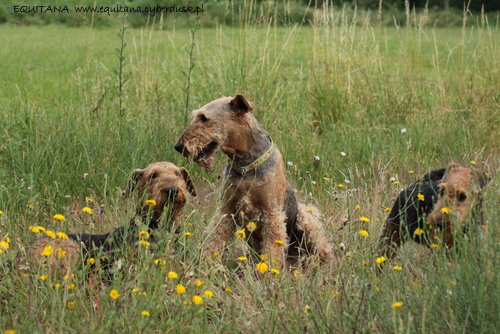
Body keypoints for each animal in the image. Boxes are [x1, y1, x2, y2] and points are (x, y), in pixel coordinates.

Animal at [174, 94, 334, 266]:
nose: (178, 146)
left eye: (204, 118)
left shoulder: (272, 213)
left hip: (306, 217)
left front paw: (269, 270)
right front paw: (204, 263)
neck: (245, 164)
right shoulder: (226, 209)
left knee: (324, 251)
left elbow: (272, 249)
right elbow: (214, 239)